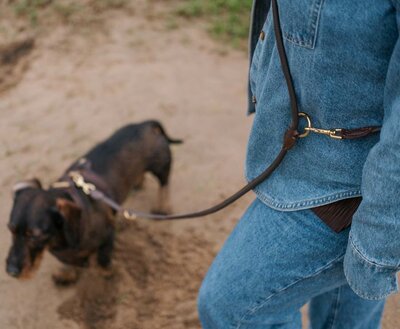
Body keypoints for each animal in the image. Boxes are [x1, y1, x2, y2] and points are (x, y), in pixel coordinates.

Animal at [5, 119, 181, 284]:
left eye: (34, 236)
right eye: (11, 230)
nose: (11, 272)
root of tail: (145, 124)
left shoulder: (108, 235)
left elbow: (102, 261)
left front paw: (107, 275)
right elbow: (69, 261)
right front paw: (66, 273)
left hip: (161, 166)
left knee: (164, 185)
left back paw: (162, 207)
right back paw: (138, 182)